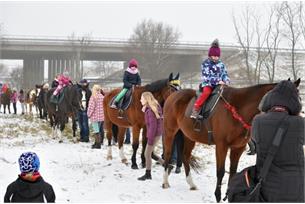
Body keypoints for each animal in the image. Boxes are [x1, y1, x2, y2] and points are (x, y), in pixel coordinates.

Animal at [162, 79, 300, 202]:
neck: (238, 108)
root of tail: (173, 95)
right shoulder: (221, 146)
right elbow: (221, 172)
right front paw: (218, 196)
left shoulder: (238, 148)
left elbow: (233, 172)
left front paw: (229, 195)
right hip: (170, 131)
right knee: (168, 154)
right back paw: (165, 182)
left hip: (189, 136)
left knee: (185, 156)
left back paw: (191, 184)